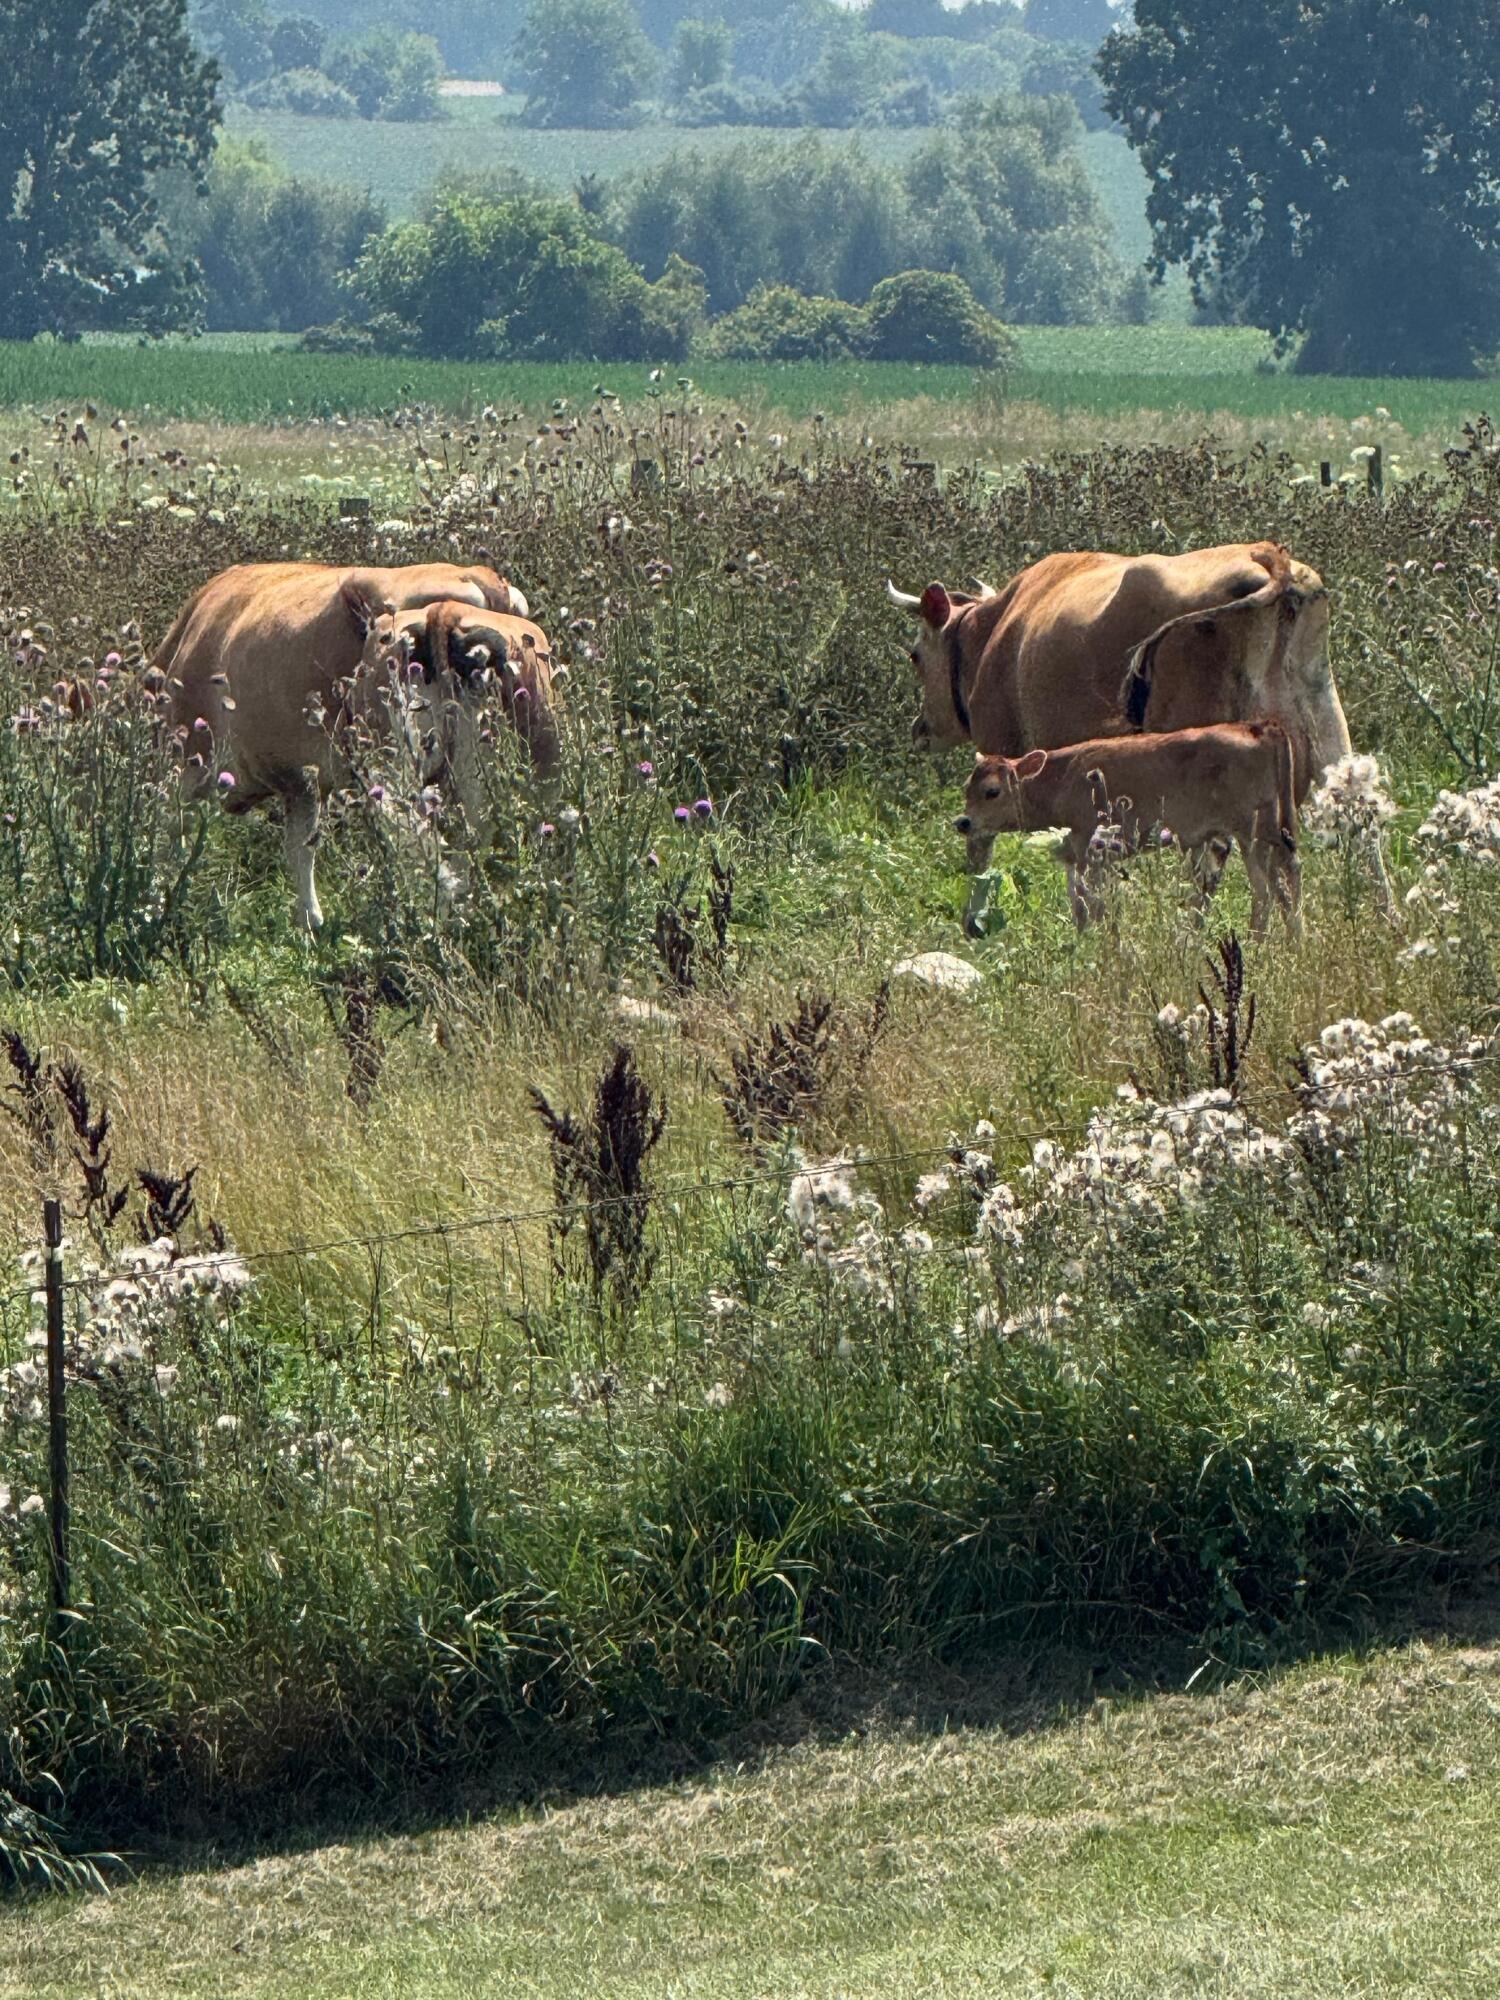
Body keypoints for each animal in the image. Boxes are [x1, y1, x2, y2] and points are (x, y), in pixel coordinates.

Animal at [152, 562, 549, 929]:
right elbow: (301, 847)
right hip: (475, 767)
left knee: (432, 857)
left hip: (391, 770)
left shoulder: (193, 767)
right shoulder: (301, 781)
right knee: (472, 844)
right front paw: (310, 923)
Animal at [955, 722, 1303, 937]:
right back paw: (1293, 940)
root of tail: (1258, 726)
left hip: (1249, 830)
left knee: (1265, 890)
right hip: (1272, 828)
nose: (963, 822)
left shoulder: (1088, 847)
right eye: (966, 787)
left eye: (991, 791)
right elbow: (1079, 901)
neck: (1064, 778)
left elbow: (1090, 902)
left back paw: (1258, 941)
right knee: (1287, 876)